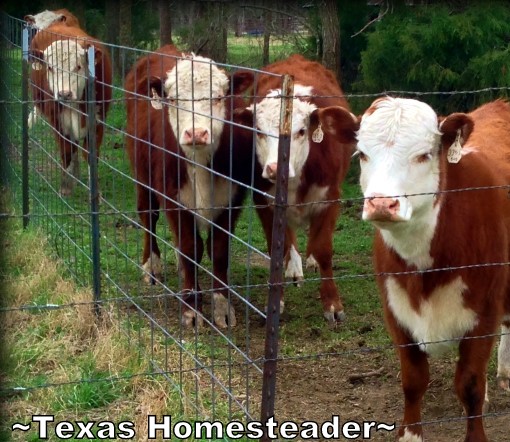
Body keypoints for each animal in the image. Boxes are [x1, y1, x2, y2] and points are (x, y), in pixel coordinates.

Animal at [29, 24, 112, 196]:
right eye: (50, 68)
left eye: (78, 67)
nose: (64, 94)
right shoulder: (57, 121)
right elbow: (66, 150)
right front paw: (66, 187)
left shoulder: (98, 120)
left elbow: (91, 154)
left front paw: (95, 192)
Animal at [124, 45, 255, 328]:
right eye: (174, 100)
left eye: (218, 97)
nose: (196, 133)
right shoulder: (173, 196)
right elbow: (190, 247)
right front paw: (191, 308)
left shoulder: (232, 197)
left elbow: (219, 250)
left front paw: (222, 307)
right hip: (141, 176)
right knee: (148, 217)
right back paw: (152, 267)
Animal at [234, 55, 356, 324]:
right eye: (259, 131)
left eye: (301, 131)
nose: (273, 168)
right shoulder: (264, 201)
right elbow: (277, 250)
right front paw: (276, 301)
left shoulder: (330, 199)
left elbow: (323, 250)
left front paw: (333, 305)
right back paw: (295, 268)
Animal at [350, 97, 510, 442]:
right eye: (362, 154)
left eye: (423, 155)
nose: (382, 204)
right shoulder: (395, 310)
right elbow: (413, 381)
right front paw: (410, 435)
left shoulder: (484, 313)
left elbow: (470, 384)